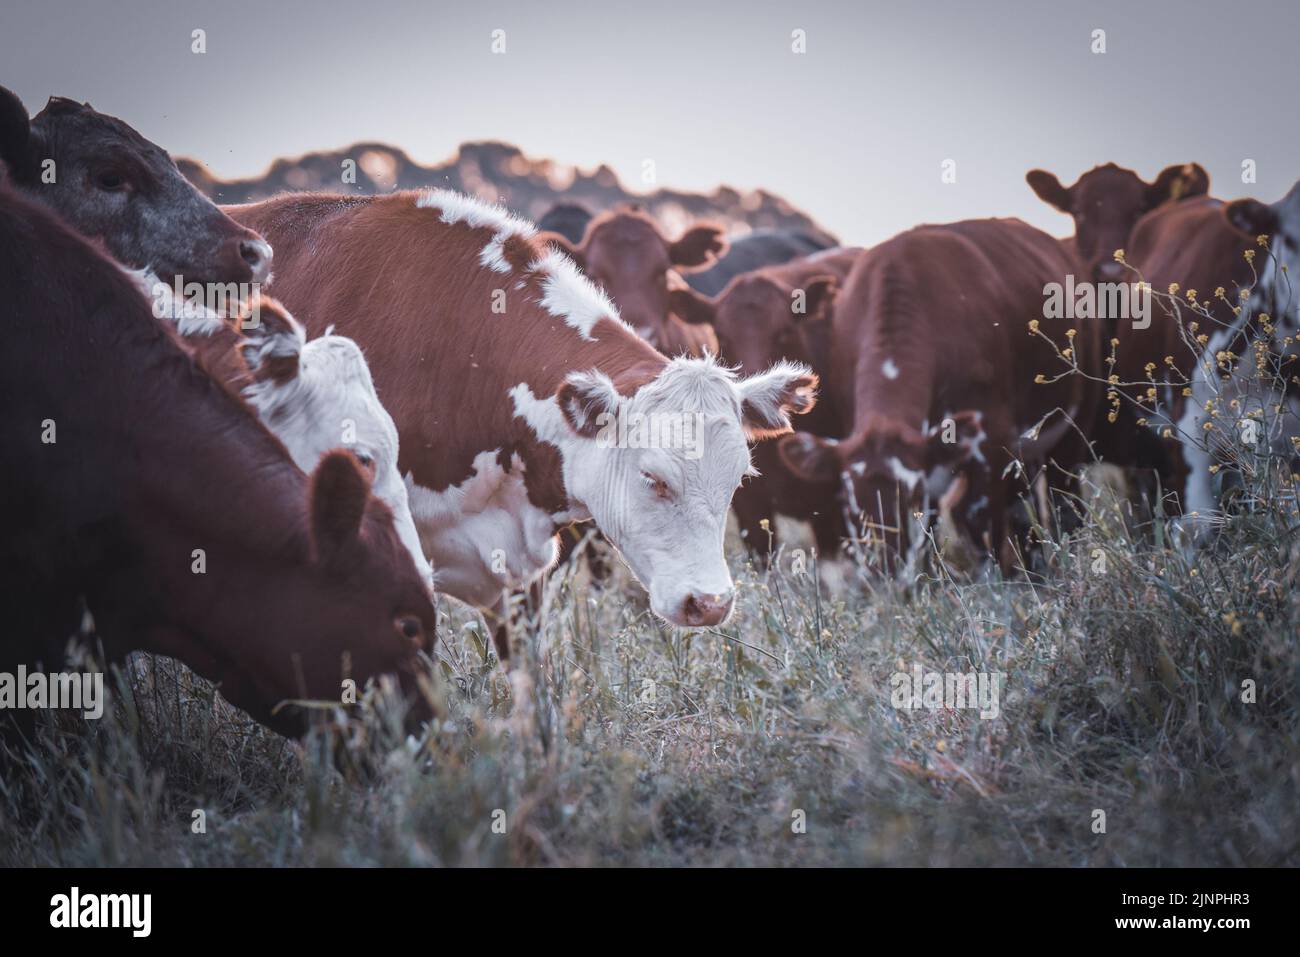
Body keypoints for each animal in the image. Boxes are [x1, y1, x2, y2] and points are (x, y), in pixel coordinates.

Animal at [775, 219, 1100, 569]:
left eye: (912, 497)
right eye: (851, 505)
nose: (886, 566)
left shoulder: (992, 436)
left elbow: (979, 519)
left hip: (1075, 422)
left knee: (1063, 500)